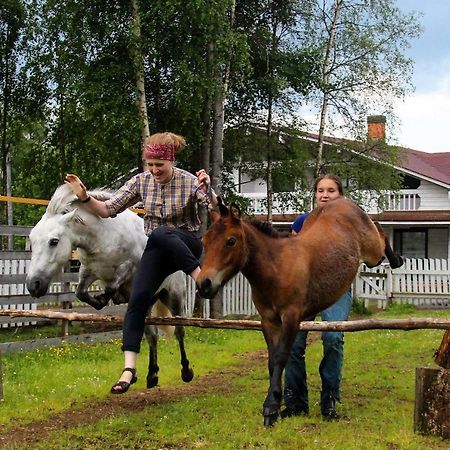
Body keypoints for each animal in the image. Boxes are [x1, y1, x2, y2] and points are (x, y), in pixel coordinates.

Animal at [25, 185, 193, 388]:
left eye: (54, 241)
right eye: (32, 240)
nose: (33, 285)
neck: (103, 235)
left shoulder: (128, 268)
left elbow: (112, 286)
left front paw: (105, 299)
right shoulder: (89, 271)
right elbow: (80, 292)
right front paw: (99, 302)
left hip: (174, 297)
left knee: (179, 331)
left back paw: (186, 371)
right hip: (145, 304)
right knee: (151, 335)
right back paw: (151, 375)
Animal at [197, 197, 404, 426]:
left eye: (231, 241)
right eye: (204, 242)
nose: (204, 284)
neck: (276, 267)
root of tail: (342, 200)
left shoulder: (291, 317)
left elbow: (281, 357)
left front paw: (271, 407)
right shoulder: (268, 321)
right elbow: (272, 360)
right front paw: (277, 403)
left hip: (372, 253)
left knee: (381, 233)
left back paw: (396, 259)